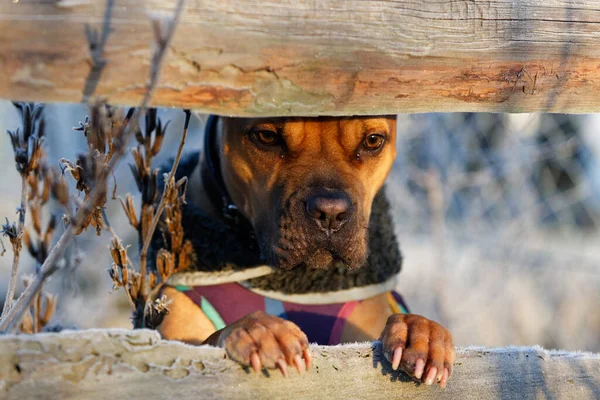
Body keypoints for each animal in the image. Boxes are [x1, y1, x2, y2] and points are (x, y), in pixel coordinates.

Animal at [158, 115, 454, 388]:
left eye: (372, 141)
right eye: (266, 136)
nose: (330, 213)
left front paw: (420, 332)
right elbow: (189, 351)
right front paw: (255, 329)